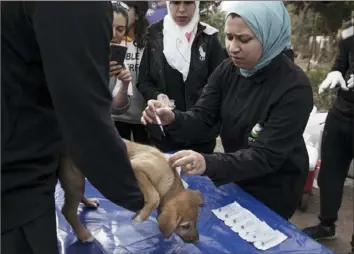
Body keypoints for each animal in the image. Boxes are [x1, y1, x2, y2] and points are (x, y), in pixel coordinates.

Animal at [59, 139, 203, 244]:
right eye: (185, 226)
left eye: (197, 221)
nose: (197, 241)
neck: (171, 181)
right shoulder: (136, 168)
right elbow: (154, 196)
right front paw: (140, 217)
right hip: (74, 179)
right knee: (68, 211)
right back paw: (83, 234)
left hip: (78, 178)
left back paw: (89, 202)